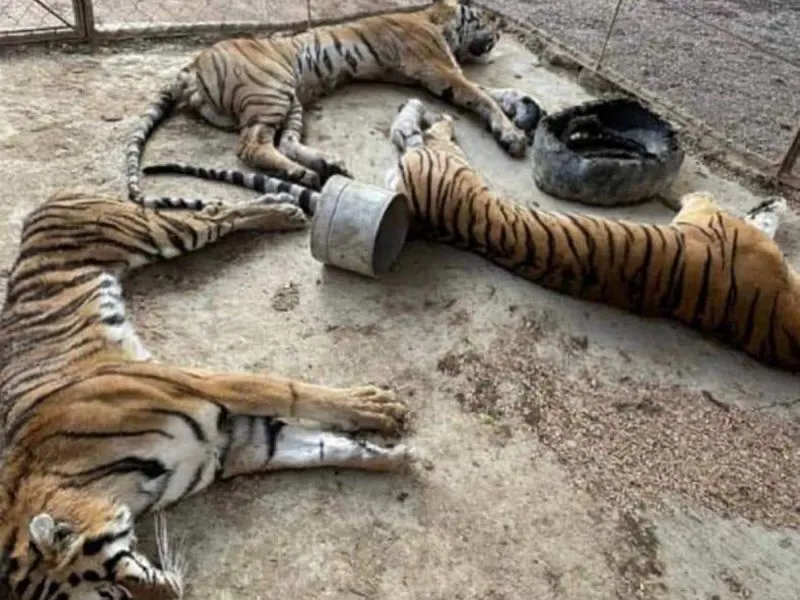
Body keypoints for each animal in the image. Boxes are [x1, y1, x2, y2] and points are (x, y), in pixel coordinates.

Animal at [0, 189, 412, 599]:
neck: (115, 487)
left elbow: (291, 391)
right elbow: (326, 449)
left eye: (115, 588)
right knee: (215, 210)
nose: (176, 595)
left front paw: (377, 408)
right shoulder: (235, 447)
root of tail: (50, 201)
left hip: (155, 233)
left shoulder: (201, 384)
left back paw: (282, 209)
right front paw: (394, 457)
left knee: (214, 216)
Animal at [124, 0, 543, 209]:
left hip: (291, 99)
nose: (500, 34)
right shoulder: (438, 68)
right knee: (250, 145)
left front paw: (523, 103)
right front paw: (511, 134)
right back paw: (305, 174)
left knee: (284, 141)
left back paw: (322, 166)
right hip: (272, 90)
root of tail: (191, 66)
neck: (438, 21)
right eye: (486, 19)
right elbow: (481, 94)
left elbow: (487, 90)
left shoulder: (436, 72)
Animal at [381, 98, 800, 370]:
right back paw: (434, 112)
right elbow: (709, 198)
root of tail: (419, 211)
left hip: (446, 163)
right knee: (434, 132)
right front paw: (774, 203)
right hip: (450, 160)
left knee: (429, 135)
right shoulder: (707, 215)